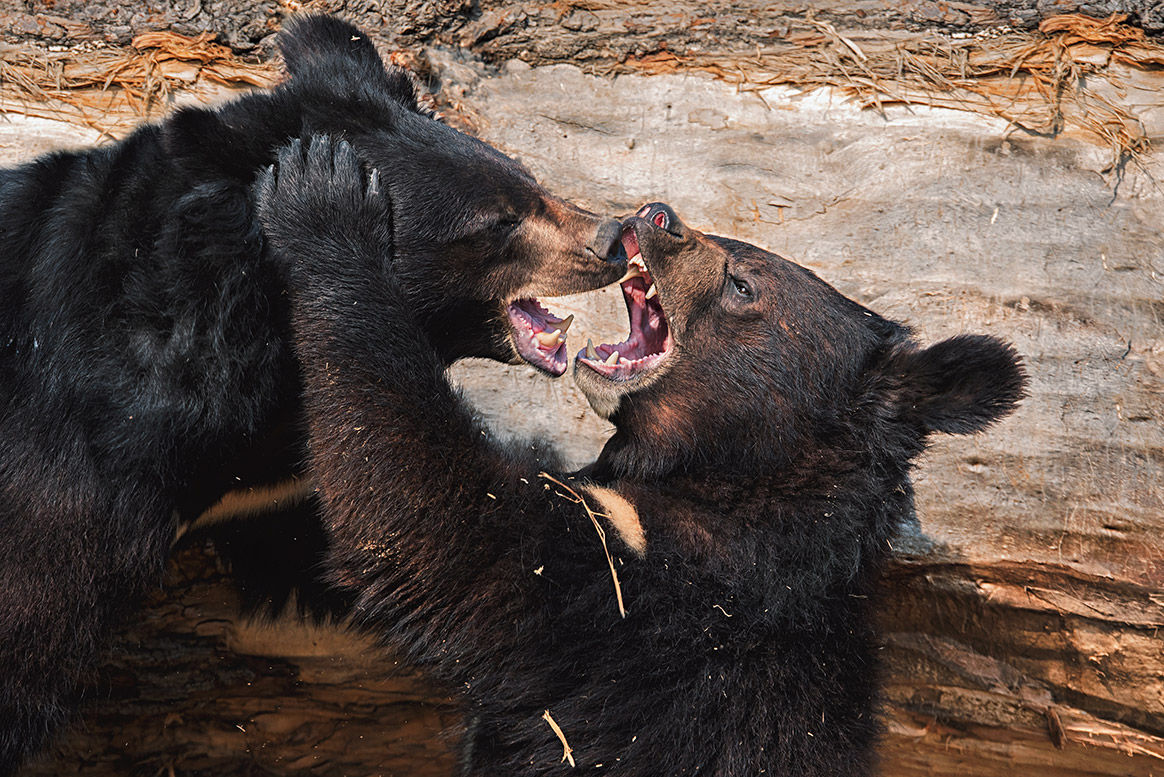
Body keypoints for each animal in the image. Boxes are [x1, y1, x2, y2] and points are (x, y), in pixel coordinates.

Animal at [259, 139, 1024, 777]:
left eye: (743, 284)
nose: (657, 214)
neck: (728, 475)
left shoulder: (659, 597)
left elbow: (434, 513)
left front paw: (323, 198)